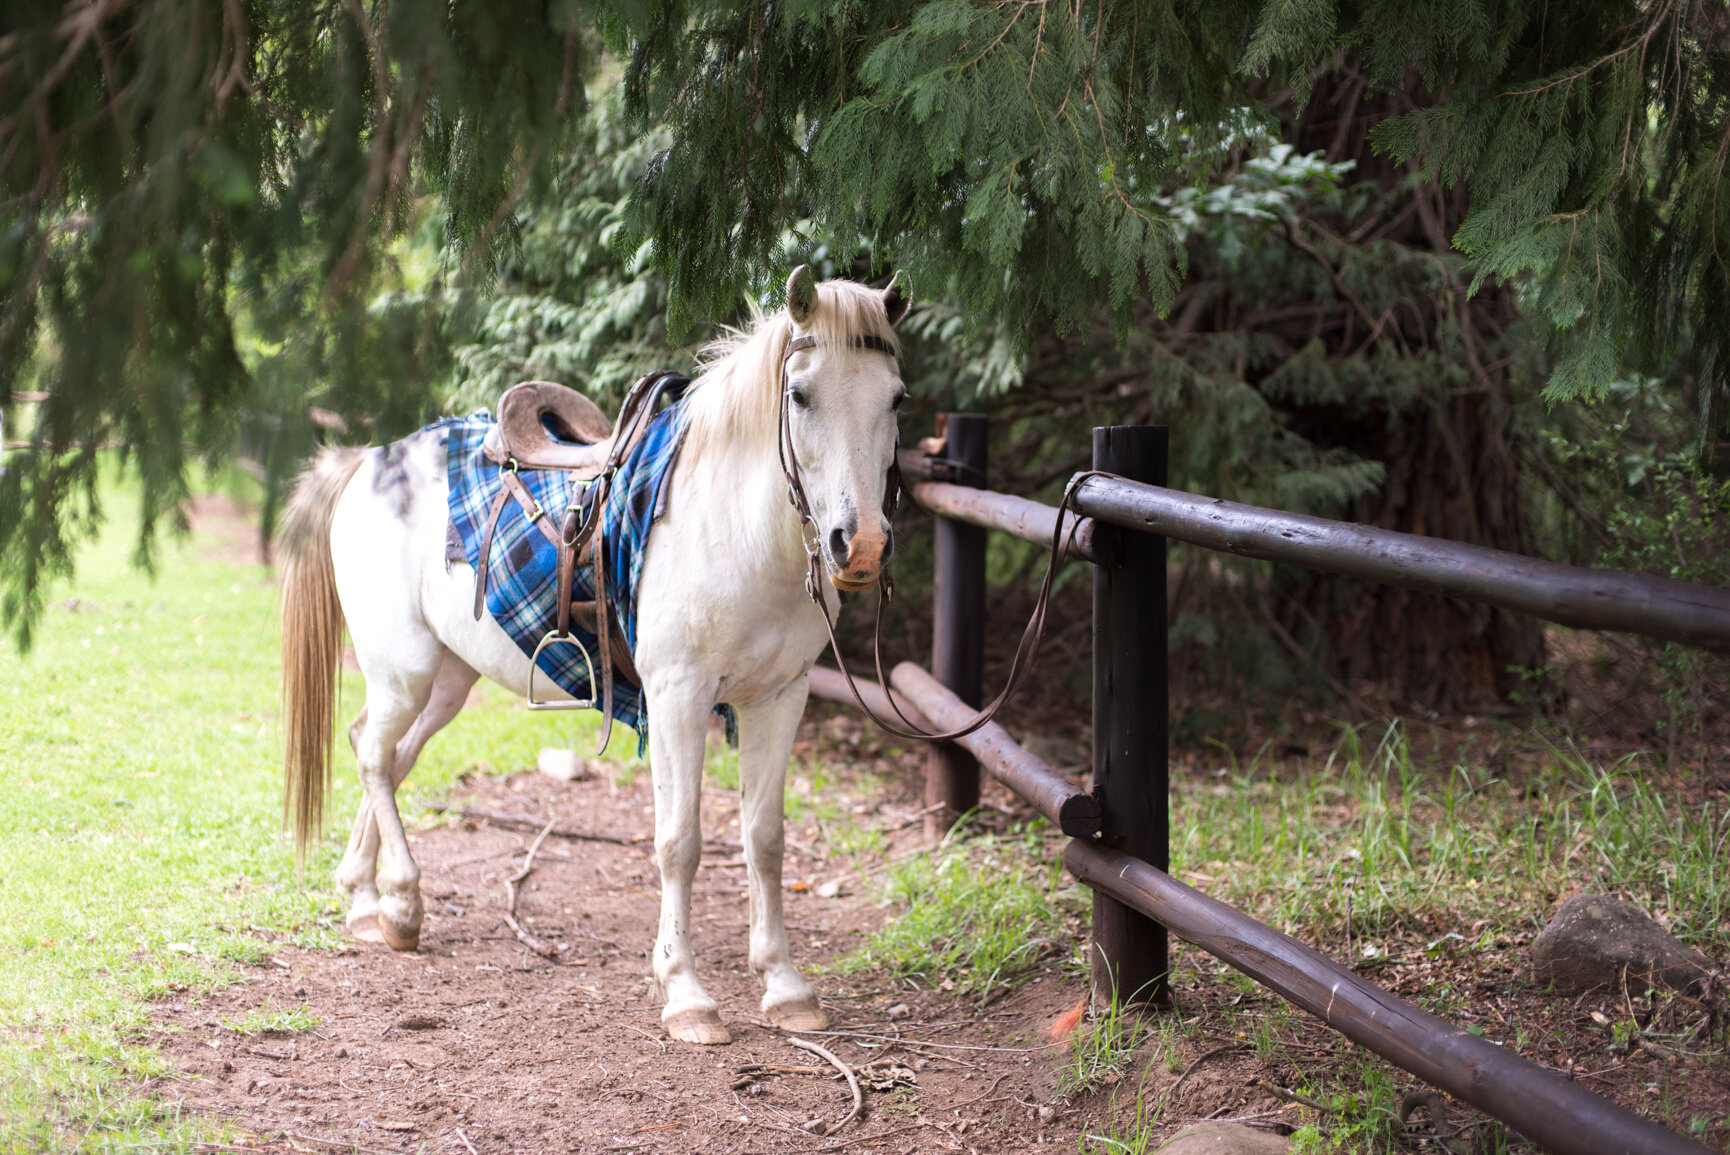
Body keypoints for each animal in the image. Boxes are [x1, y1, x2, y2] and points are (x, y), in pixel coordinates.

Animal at [273, 273, 906, 1044]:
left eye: (896, 398)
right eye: (801, 395)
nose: (860, 544)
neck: (735, 527)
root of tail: (367, 460)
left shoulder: (779, 698)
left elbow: (764, 838)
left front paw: (785, 986)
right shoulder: (678, 696)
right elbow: (679, 841)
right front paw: (685, 993)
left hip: (449, 680)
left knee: (390, 756)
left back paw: (366, 899)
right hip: (404, 670)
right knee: (371, 751)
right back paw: (401, 905)